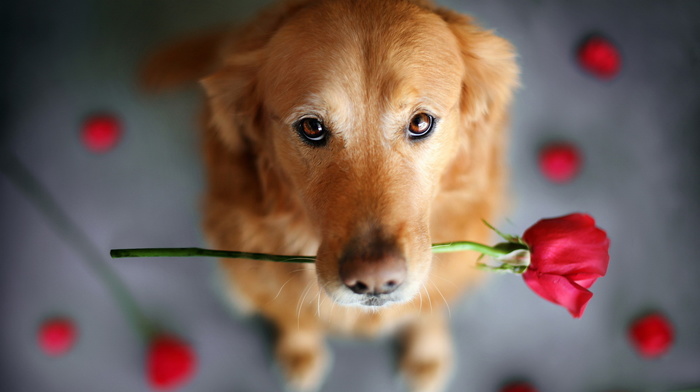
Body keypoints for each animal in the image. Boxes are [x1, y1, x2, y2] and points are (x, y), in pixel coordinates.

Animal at [142, 1, 516, 390]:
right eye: (311, 127)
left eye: (420, 122)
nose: (374, 280)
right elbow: (291, 316)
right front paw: (299, 352)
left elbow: (429, 313)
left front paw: (427, 354)